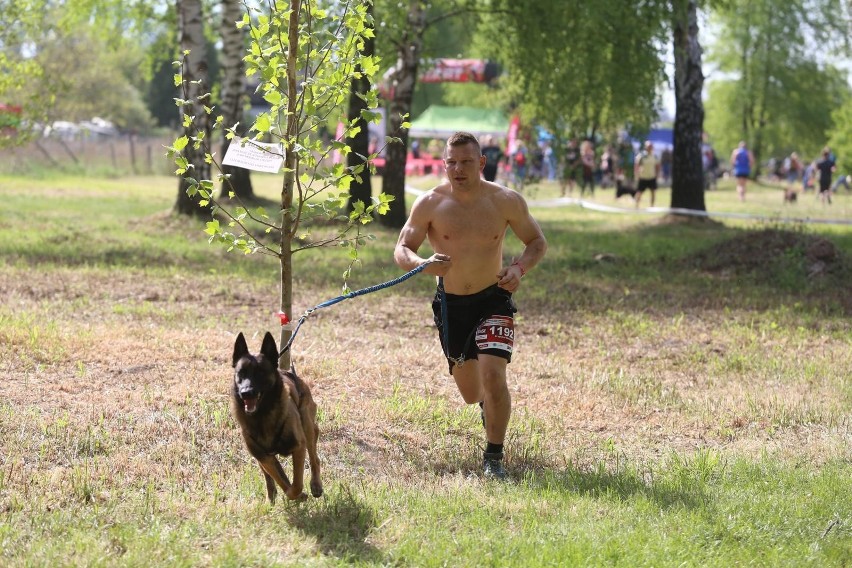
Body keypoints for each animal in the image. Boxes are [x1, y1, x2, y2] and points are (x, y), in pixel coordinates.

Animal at [233, 330, 322, 504]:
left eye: (260, 373)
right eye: (241, 373)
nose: (246, 393)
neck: (262, 415)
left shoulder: (298, 447)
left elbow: (296, 485)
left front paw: (298, 494)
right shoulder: (264, 457)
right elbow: (282, 480)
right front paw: (296, 495)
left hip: (307, 426)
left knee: (314, 457)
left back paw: (316, 485)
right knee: (270, 477)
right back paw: (271, 495)